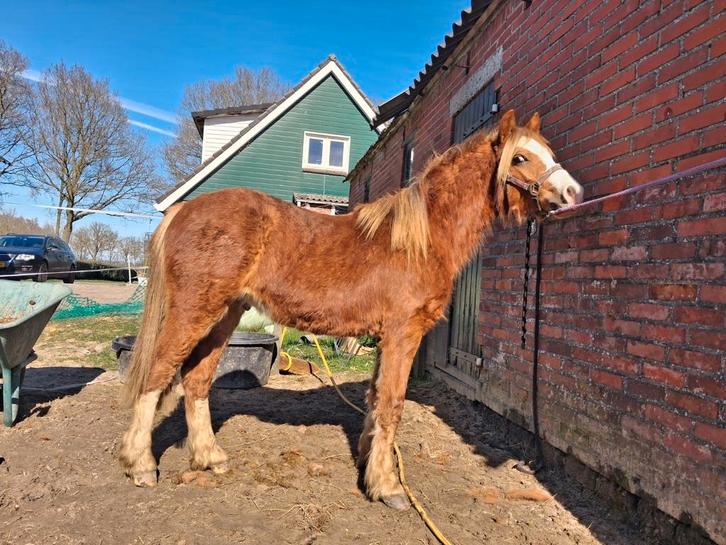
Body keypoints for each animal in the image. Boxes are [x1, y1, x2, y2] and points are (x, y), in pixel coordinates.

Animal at [119, 109, 584, 510]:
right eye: (520, 157)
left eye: (548, 152)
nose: (571, 193)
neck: (420, 239)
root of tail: (184, 210)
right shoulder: (403, 332)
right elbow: (393, 403)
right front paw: (388, 486)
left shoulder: (385, 338)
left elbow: (376, 398)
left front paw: (368, 465)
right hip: (193, 312)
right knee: (156, 374)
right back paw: (140, 465)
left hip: (224, 316)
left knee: (196, 381)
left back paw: (210, 457)